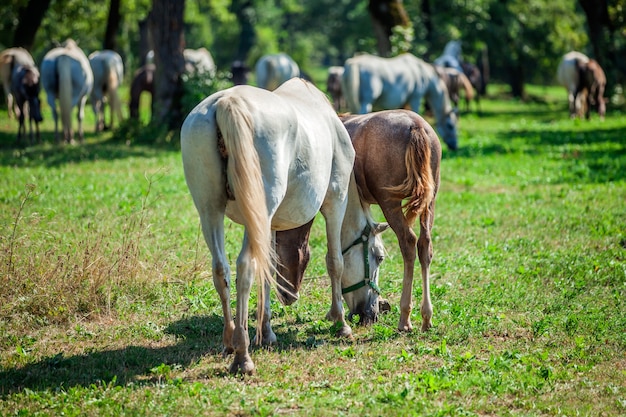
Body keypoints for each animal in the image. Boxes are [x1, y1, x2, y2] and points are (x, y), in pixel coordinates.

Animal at [178, 79, 388, 374]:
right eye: (378, 257)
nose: (374, 311)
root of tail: (227, 102)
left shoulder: (269, 225)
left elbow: (269, 271)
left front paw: (267, 333)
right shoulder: (336, 201)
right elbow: (335, 262)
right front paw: (340, 323)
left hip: (211, 210)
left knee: (222, 269)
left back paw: (230, 341)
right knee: (245, 268)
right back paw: (242, 356)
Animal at [276, 109, 442, 332]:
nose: (288, 296)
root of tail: (415, 125)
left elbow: (332, 258)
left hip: (390, 202)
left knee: (408, 243)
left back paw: (404, 316)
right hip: (429, 201)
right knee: (425, 245)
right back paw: (426, 316)